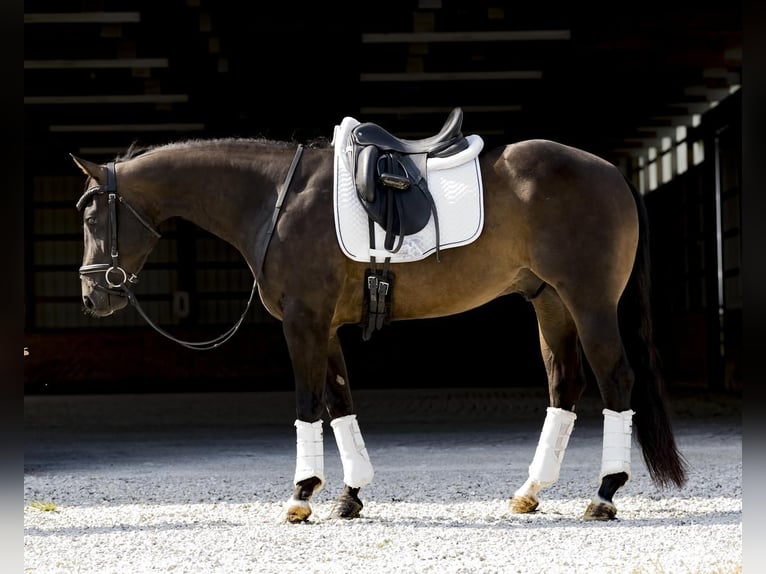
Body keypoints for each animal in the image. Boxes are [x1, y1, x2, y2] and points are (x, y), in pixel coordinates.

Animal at [73, 109, 688, 528]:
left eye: (91, 216)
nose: (92, 296)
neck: (276, 200)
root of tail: (611, 171)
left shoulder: (303, 320)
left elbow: (308, 403)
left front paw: (301, 495)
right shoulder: (326, 326)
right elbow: (340, 402)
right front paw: (350, 494)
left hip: (590, 303)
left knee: (616, 381)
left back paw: (604, 493)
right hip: (550, 302)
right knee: (566, 385)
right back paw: (531, 490)